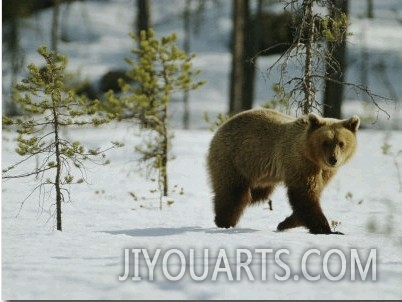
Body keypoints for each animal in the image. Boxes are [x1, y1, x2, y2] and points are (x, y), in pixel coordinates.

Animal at [206, 107, 360, 235]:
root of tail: (223, 125)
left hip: (260, 174)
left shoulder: (324, 172)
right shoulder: (301, 164)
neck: (311, 155)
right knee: (234, 192)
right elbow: (304, 195)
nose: (333, 159)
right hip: (234, 159)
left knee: (257, 194)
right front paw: (327, 230)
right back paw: (224, 221)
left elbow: (311, 195)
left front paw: (285, 223)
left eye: (341, 143)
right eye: (326, 142)